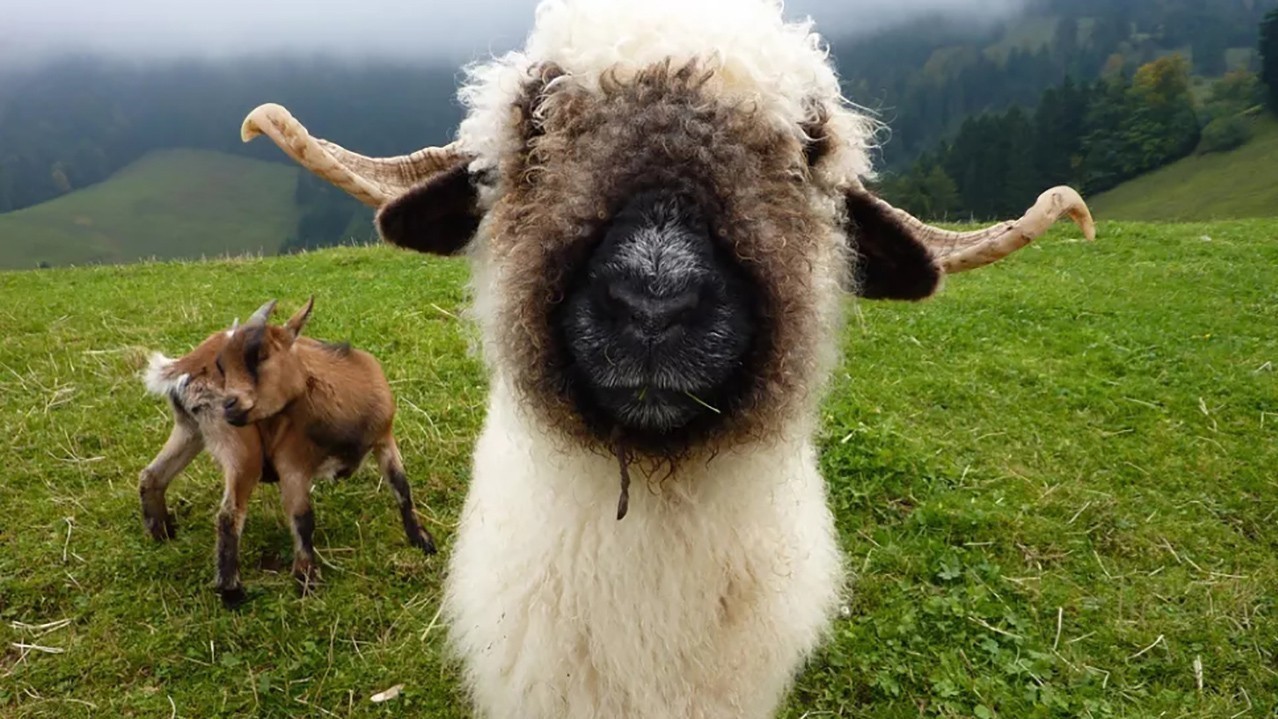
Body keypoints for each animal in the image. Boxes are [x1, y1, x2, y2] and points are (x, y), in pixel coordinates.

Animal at [141, 295, 434, 605]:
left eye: (261, 355)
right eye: (222, 365)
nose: (229, 405)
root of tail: (186, 364)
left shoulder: (384, 438)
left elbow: (402, 487)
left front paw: (422, 540)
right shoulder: (291, 462)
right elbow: (303, 518)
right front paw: (307, 580)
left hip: (191, 430)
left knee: (152, 475)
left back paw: (162, 533)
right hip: (242, 449)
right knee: (228, 515)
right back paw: (232, 592)